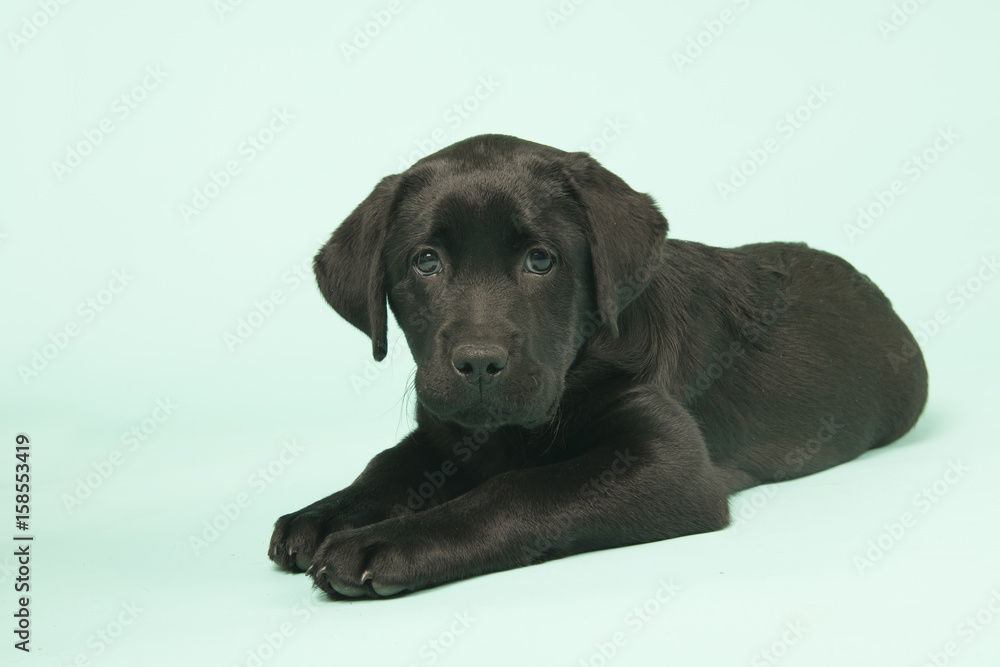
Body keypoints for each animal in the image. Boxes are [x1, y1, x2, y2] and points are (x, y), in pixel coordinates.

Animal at [268, 134, 928, 600]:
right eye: (425, 261)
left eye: (541, 260)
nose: (479, 363)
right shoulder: (442, 429)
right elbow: (388, 464)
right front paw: (325, 514)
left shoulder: (669, 462)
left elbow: (515, 491)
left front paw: (382, 542)